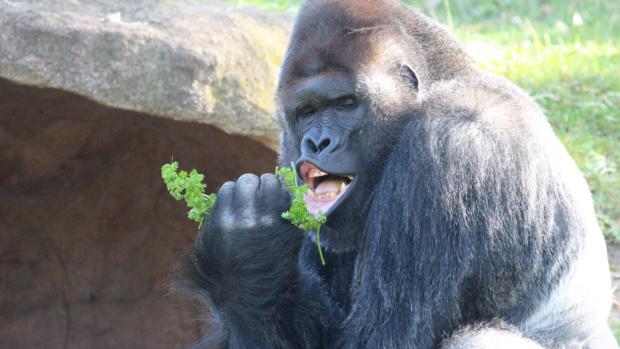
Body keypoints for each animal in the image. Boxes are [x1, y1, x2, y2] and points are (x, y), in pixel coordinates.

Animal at [182, 0, 616, 348]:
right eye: (306, 111)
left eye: (346, 103)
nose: (316, 142)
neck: (444, 82)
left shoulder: (452, 143)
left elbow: (383, 340)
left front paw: (243, 245)